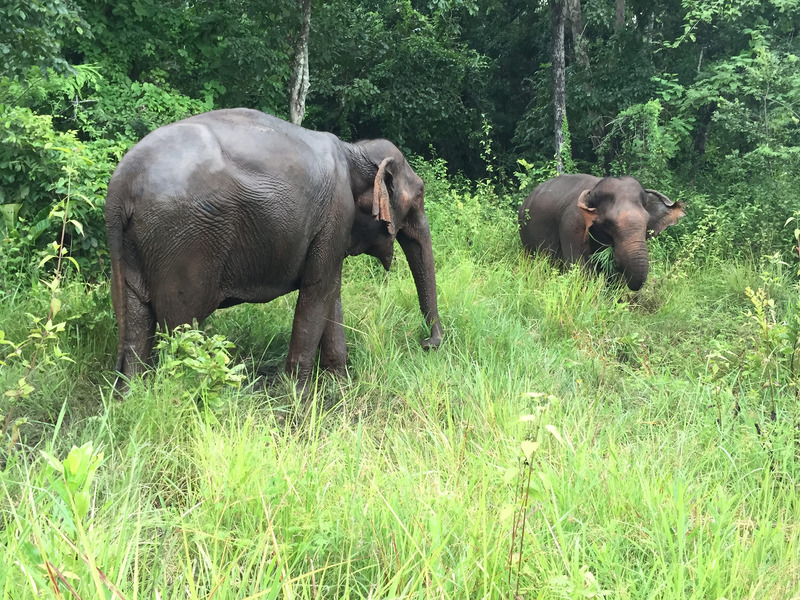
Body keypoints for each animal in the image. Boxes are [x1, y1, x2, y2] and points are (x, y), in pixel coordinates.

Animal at [104, 107, 444, 390]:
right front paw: (298, 397)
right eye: (420, 195)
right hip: (185, 240)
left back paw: (131, 397)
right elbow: (318, 292)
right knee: (181, 327)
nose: (427, 344)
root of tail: (120, 187)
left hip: (139, 245)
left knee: (137, 325)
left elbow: (329, 291)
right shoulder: (335, 214)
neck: (354, 150)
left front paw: (339, 385)